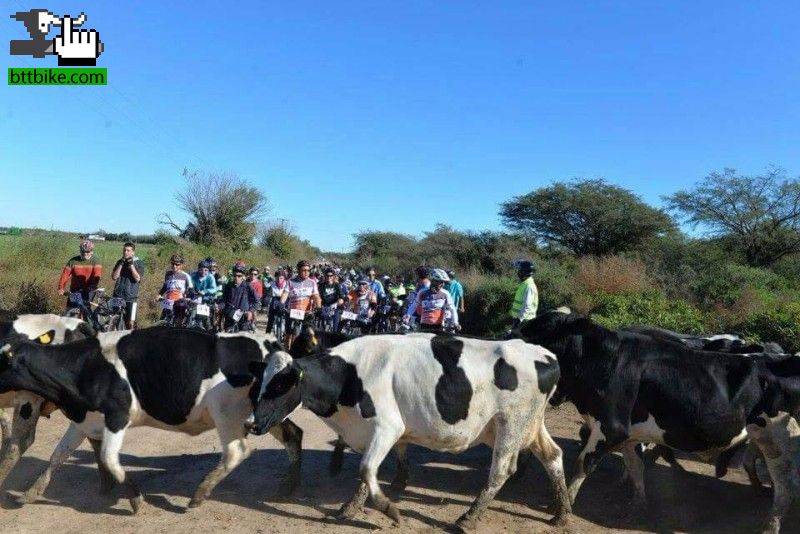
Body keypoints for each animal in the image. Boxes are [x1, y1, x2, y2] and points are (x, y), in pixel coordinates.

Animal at [520, 312, 800, 512]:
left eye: (546, 328)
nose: (514, 333)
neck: (606, 360)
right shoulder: (629, 434)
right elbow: (636, 467)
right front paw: (638, 503)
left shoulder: (611, 427)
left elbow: (583, 464)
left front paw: (561, 506)